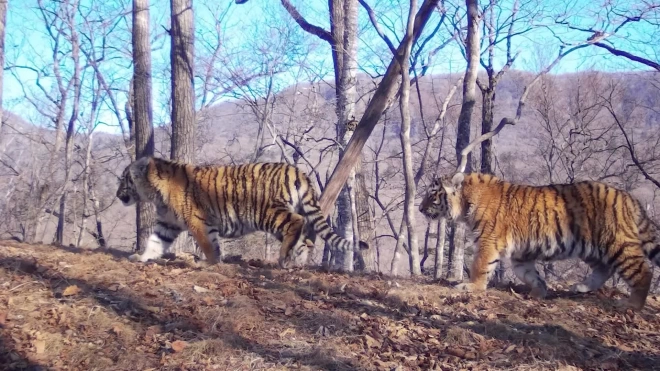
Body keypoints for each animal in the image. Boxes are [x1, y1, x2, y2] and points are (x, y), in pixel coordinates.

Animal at [115, 155, 368, 268]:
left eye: (125, 180)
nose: (117, 195)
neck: (155, 194)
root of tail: (297, 171)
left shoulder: (197, 220)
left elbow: (208, 245)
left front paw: (208, 263)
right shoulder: (167, 223)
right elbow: (155, 241)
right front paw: (141, 257)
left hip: (267, 212)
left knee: (297, 223)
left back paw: (284, 257)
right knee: (304, 239)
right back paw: (295, 262)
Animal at [420, 172, 660, 310]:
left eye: (432, 194)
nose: (420, 209)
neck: (465, 201)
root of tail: (630, 198)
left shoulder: (489, 241)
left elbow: (480, 266)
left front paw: (470, 286)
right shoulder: (520, 254)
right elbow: (528, 274)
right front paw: (539, 292)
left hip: (617, 244)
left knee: (643, 272)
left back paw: (631, 305)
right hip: (590, 247)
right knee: (604, 269)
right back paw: (581, 287)